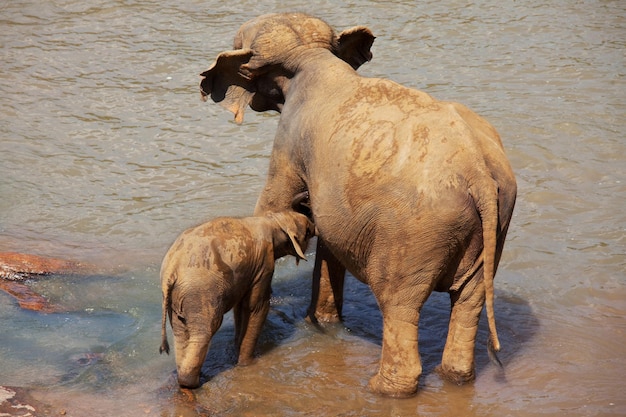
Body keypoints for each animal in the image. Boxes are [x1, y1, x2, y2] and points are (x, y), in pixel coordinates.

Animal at [156, 210, 312, 388]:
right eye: (308, 231)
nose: (314, 228)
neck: (273, 220)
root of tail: (172, 269)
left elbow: (241, 307)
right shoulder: (264, 263)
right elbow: (256, 307)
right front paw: (247, 364)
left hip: (177, 297)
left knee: (181, 330)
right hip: (200, 292)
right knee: (206, 329)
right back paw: (193, 382)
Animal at [197, 13, 516, 396]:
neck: (315, 57)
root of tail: (478, 172)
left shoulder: (289, 141)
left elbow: (274, 205)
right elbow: (328, 240)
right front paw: (320, 321)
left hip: (415, 233)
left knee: (399, 303)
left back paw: (381, 388)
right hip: (494, 224)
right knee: (469, 300)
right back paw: (454, 378)